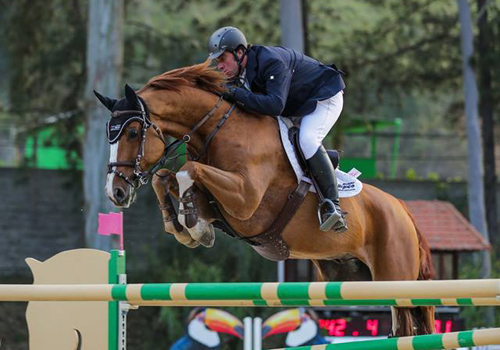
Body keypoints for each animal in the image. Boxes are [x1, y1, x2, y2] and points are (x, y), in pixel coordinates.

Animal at [94, 59, 434, 336]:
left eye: (132, 133)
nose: (116, 192)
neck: (218, 129)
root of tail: (403, 211)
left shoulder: (245, 200)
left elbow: (188, 170)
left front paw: (192, 224)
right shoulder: (220, 205)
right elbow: (165, 178)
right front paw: (183, 226)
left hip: (396, 277)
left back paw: (333, 212)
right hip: (356, 277)